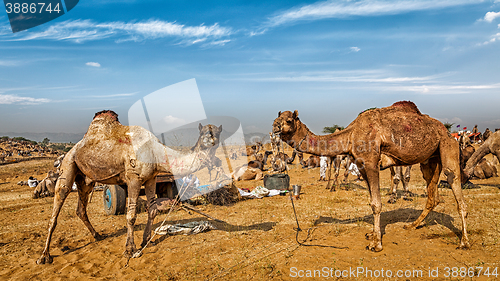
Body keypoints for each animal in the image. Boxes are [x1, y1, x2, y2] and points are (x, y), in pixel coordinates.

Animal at [36, 109, 221, 262]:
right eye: (204, 132)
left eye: (219, 132)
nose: (212, 141)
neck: (155, 151)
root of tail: (71, 150)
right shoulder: (133, 178)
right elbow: (131, 215)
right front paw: (130, 250)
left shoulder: (151, 178)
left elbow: (152, 210)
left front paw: (147, 241)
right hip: (68, 164)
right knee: (58, 204)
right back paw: (45, 256)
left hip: (86, 179)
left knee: (81, 208)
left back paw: (97, 236)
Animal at [274, 101, 468, 252]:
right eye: (278, 118)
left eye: (289, 120)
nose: (275, 126)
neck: (351, 134)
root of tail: (447, 131)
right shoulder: (361, 166)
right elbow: (372, 201)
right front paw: (372, 234)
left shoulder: (371, 162)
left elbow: (376, 204)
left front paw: (376, 244)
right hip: (430, 159)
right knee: (432, 194)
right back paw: (413, 225)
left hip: (447, 145)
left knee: (453, 181)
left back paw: (464, 242)